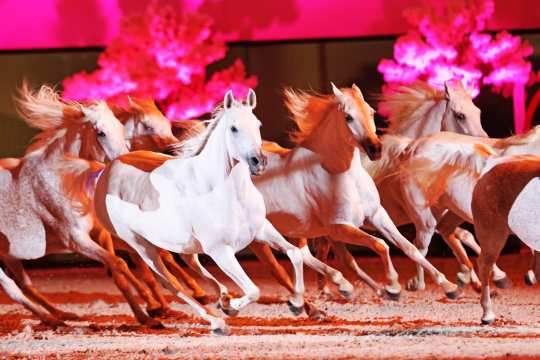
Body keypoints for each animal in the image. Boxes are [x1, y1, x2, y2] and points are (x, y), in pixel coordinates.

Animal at [0, 84, 132, 326]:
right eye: (101, 132)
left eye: (120, 127)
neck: (62, 177)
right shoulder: (75, 240)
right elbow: (119, 263)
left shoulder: (97, 233)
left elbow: (118, 266)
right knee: (12, 288)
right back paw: (50, 319)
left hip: (9, 254)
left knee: (26, 285)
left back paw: (62, 315)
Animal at [66, 90, 306, 334]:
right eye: (233, 128)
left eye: (257, 124)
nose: (258, 162)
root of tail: (108, 169)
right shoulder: (220, 250)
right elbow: (254, 290)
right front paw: (235, 306)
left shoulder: (261, 230)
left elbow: (295, 253)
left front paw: (296, 303)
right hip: (141, 245)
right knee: (170, 282)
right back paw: (216, 320)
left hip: (179, 242)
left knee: (191, 263)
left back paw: (222, 299)